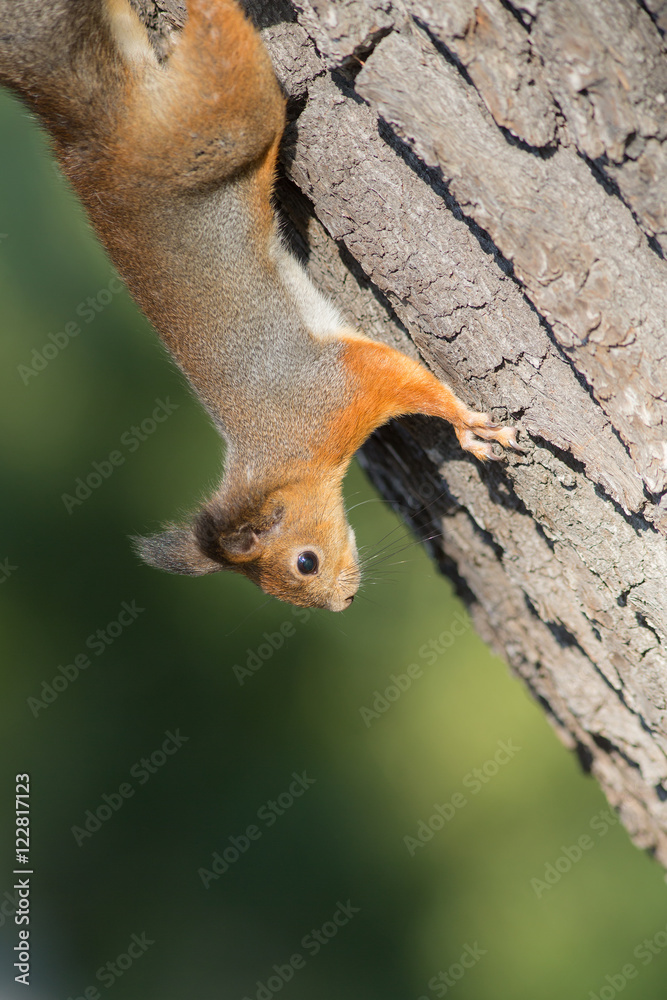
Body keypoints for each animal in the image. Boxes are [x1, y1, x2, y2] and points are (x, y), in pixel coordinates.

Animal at [0, 0, 519, 612]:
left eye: (304, 561)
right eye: (297, 577)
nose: (342, 603)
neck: (285, 459)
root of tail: (92, 140)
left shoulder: (343, 384)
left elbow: (411, 381)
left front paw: (468, 426)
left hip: (226, 123)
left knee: (224, 49)